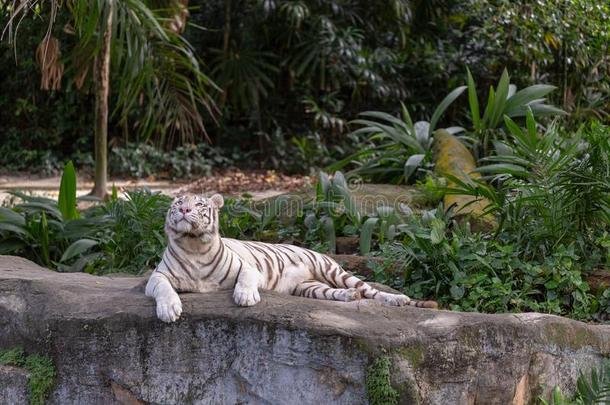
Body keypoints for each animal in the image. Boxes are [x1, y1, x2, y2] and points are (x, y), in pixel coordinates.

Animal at [145, 193, 434, 322]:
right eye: (177, 203)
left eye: (199, 204)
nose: (184, 209)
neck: (194, 244)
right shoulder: (156, 277)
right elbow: (164, 288)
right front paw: (169, 309)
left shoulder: (247, 266)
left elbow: (246, 279)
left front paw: (245, 297)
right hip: (309, 287)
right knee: (341, 293)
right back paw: (349, 297)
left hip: (334, 271)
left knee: (370, 290)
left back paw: (396, 299)